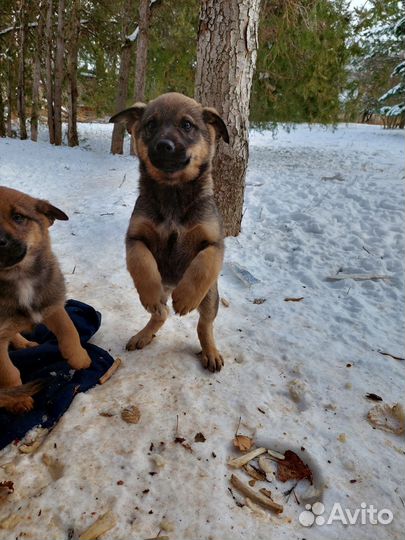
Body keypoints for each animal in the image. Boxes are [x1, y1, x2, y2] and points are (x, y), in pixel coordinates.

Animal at [0, 188, 91, 412]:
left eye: (18, 217)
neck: (19, 277)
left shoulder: (52, 305)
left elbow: (70, 331)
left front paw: (79, 358)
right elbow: (8, 371)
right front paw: (18, 399)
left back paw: (23, 343)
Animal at [109, 92, 229, 372]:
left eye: (187, 125)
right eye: (151, 124)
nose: (164, 145)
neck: (173, 192)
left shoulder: (213, 243)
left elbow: (202, 267)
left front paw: (185, 298)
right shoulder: (135, 237)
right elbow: (141, 263)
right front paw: (151, 293)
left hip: (210, 296)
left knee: (204, 324)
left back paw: (210, 352)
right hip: (163, 291)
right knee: (161, 313)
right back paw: (143, 333)